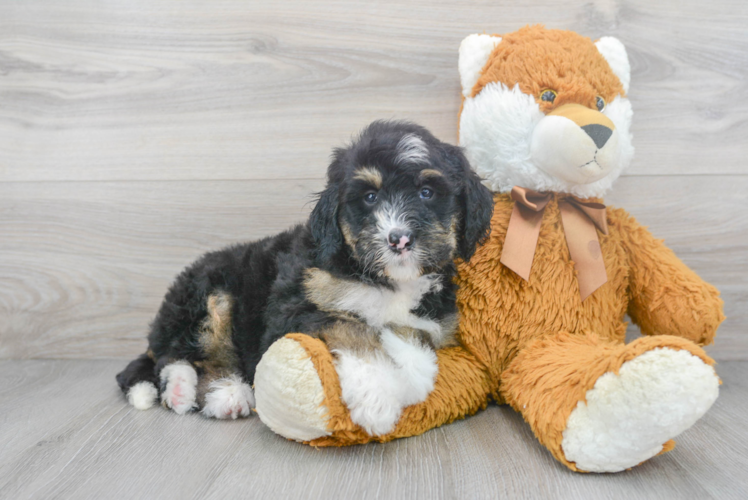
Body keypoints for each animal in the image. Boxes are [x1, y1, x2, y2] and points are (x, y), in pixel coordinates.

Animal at [114, 120, 494, 434]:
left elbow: (412, 335)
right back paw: (217, 393)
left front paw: (413, 368)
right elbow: (352, 327)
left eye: (426, 192)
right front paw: (376, 395)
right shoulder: (294, 307)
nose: (398, 239)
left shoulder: (437, 320)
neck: (384, 279)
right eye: (370, 197)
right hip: (211, 292)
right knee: (184, 353)